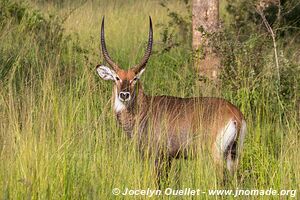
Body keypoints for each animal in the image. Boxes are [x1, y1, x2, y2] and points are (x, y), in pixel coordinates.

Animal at [96, 16, 246, 184]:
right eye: (117, 78)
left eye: (135, 78)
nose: (124, 95)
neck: (144, 109)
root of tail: (235, 115)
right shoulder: (169, 158)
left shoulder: (158, 156)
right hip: (233, 155)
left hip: (217, 155)